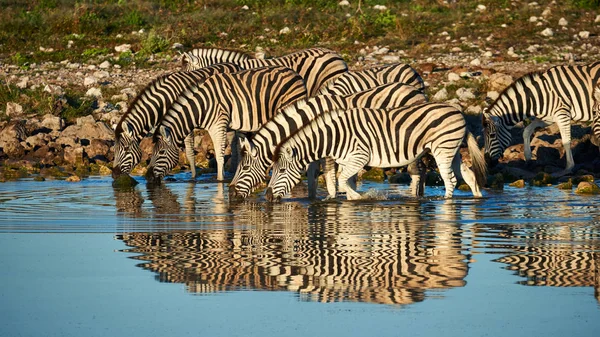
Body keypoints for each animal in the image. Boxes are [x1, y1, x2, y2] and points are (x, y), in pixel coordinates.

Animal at [111, 63, 240, 178]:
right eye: (114, 150)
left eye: (126, 149)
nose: (114, 175)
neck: (165, 100)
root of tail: (235, 65)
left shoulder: (185, 122)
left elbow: (189, 152)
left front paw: (193, 179)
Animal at [144, 65, 308, 181]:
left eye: (161, 152)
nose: (148, 177)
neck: (202, 106)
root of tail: (296, 73)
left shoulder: (218, 124)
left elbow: (219, 154)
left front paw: (219, 179)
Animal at [227, 82, 428, 200]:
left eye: (245, 168)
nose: (231, 193)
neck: (310, 118)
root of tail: (416, 91)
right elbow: (312, 176)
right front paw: (312, 200)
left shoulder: (329, 148)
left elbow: (329, 176)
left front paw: (331, 199)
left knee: (416, 171)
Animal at [264, 102, 488, 201]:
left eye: (281, 171)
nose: (266, 195)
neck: (334, 137)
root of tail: (459, 112)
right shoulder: (347, 161)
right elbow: (344, 181)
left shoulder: (359, 156)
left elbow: (342, 181)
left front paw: (361, 198)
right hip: (452, 150)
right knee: (468, 175)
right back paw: (477, 198)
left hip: (443, 149)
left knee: (450, 180)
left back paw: (446, 203)